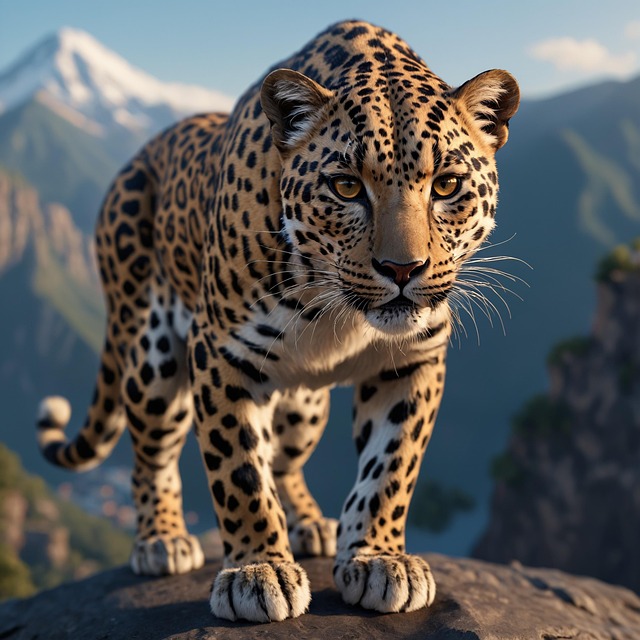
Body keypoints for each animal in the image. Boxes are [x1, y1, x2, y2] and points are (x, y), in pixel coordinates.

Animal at [37, 20, 519, 622]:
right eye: (346, 186)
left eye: (447, 186)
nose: (402, 269)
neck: (338, 310)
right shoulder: (220, 352)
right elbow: (239, 468)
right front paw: (257, 570)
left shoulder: (413, 359)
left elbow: (391, 466)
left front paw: (379, 558)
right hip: (152, 357)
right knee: (151, 454)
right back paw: (161, 539)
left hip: (304, 404)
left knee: (285, 462)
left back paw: (311, 524)